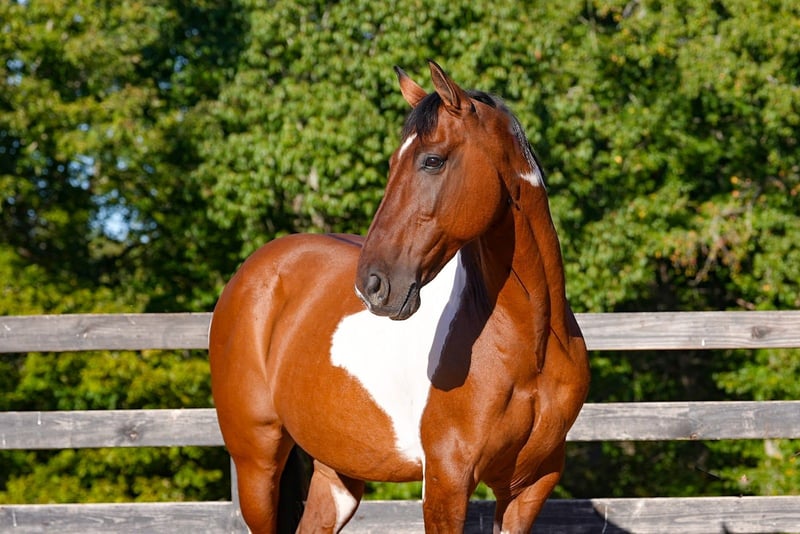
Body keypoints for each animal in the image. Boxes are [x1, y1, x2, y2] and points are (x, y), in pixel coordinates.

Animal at [209, 61, 590, 533]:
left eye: (432, 160)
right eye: (393, 163)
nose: (372, 284)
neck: (530, 344)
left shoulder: (530, 485)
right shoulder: (446, 481)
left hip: (337, 472)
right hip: (257, 464)